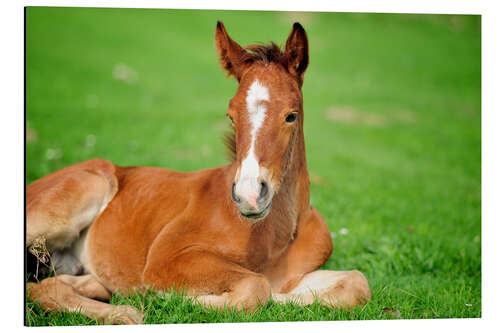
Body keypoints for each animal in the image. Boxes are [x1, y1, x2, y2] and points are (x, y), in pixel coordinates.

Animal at [27, 22, 372, 322]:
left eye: (291, 115)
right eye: (231, 116)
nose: (249, 196)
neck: (276, 235)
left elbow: (357, 283)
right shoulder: (167, 258)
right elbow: (255, 286)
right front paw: (168, 298)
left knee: (52, 283)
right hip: (80, 195)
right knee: (38, 288)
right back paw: (127, 311)